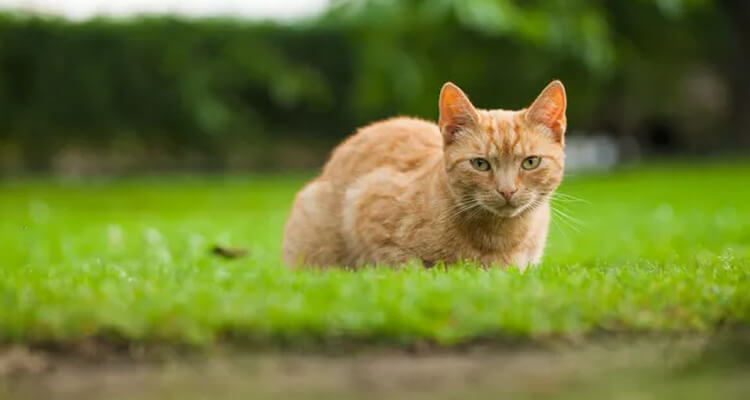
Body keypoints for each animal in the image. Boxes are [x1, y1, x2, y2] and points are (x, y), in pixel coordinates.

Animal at [284, 80, 568, 268]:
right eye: (480, 164)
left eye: (530, 162)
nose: (507, 190)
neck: (502, 237)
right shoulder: (364, 202)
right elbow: (402, 265)